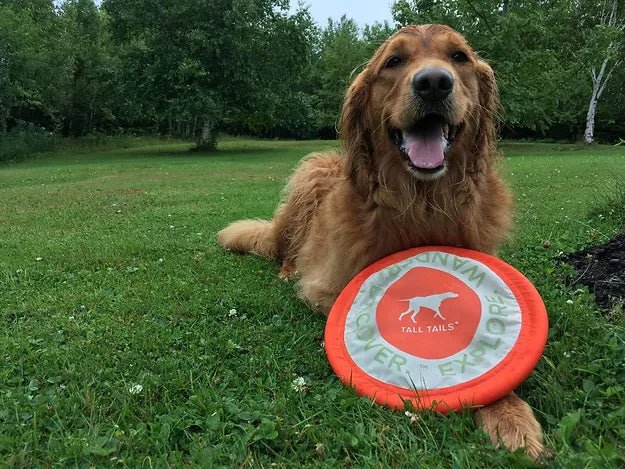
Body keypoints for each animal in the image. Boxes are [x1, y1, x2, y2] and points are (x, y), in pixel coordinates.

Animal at [217, 24, 544, 458]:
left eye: (459, 56)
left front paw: (509, 412)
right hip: (312, 173)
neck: (421, 202)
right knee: (285, 248)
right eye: (394, 61)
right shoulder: (327, 288)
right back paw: (286, 268)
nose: (434, 83)